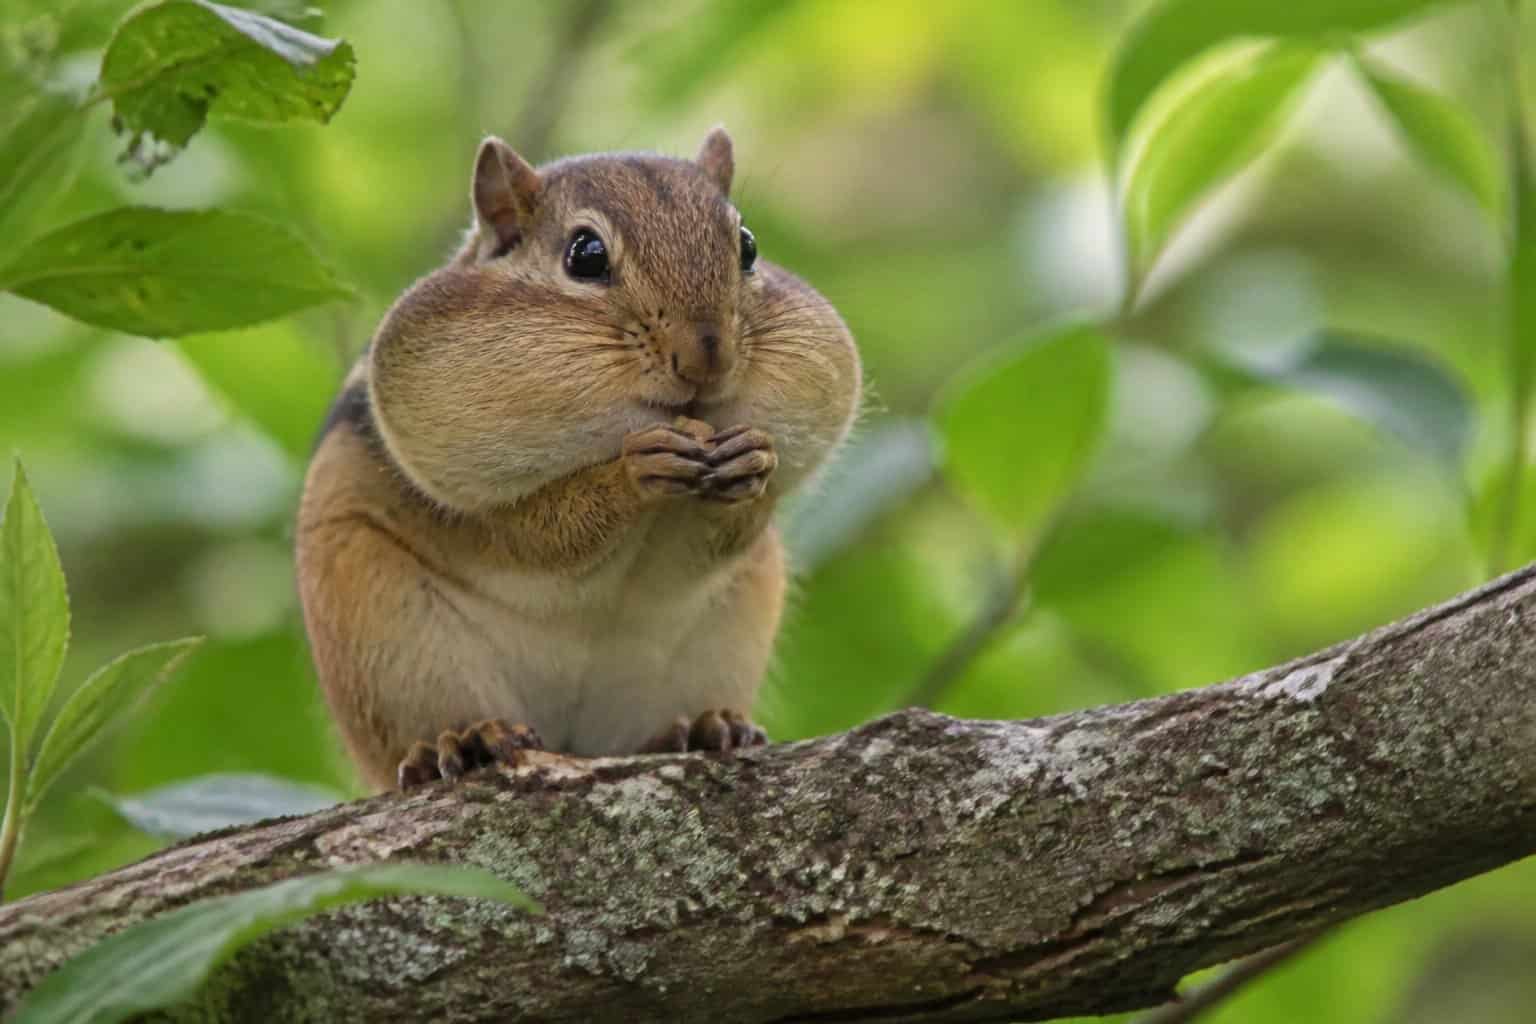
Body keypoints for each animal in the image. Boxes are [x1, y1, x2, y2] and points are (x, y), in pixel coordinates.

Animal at [295, 128, 862, 792]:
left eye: (747, 247)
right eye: (585, 255)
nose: (707, 355)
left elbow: (735, 526)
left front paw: (756, 460)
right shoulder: (476, 508)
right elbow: (537, 534)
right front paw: (632, 472)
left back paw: (702, 728)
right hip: (387, 641)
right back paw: (459, 742)